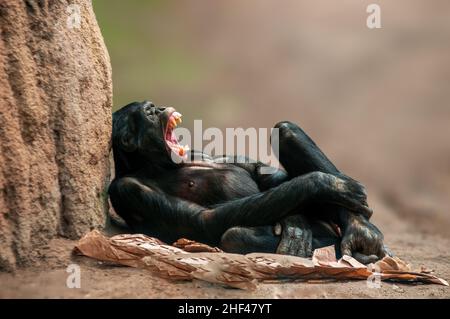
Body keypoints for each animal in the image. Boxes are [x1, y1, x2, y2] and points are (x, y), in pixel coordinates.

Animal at [108, 101, 386, 264]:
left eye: (154, 107)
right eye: (148, 113)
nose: (160, 108)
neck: (160, 164)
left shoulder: (207, 154)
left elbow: (261, 174)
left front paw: (297, 221)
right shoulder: (128, 190)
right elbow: (204, 220)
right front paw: (324, 183)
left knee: (286, 130)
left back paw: (362, 232)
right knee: (234, 237)